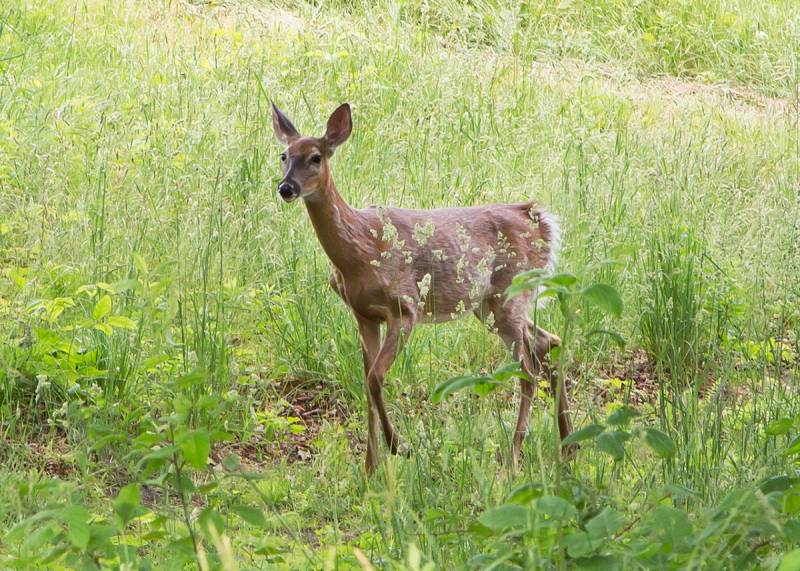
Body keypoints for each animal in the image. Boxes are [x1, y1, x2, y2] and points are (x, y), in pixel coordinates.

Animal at [272, 101, 572, 474]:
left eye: (315, 157)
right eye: (284, 155)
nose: (286, 187)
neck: (361, 249)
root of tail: (540, 219)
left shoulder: (405, 307)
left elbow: (374, 378)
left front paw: (398, 446)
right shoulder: (363, 315)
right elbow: (366, 382)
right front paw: (370, 468)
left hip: (509, 297)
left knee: (528, 370)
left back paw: (514, 458)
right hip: (489, 305)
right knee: (549, 342)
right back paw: (568, 444)